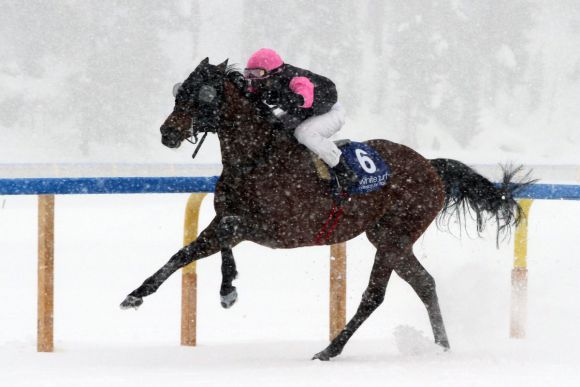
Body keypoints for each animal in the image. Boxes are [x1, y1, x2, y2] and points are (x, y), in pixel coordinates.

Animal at [120, 57, 532, 360]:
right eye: (180, 91)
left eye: (202, 93)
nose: (167, 133)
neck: (256, 156)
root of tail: (431, 165)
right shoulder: (230, 218)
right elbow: (200, 251)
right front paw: (204, 290)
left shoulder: (268, 227)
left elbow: (205, 246)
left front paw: (206, 291)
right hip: (387, 237)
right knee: (424, 283)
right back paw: (441, 347)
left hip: (395, 236)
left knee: (375, 295)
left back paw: (331, 349)